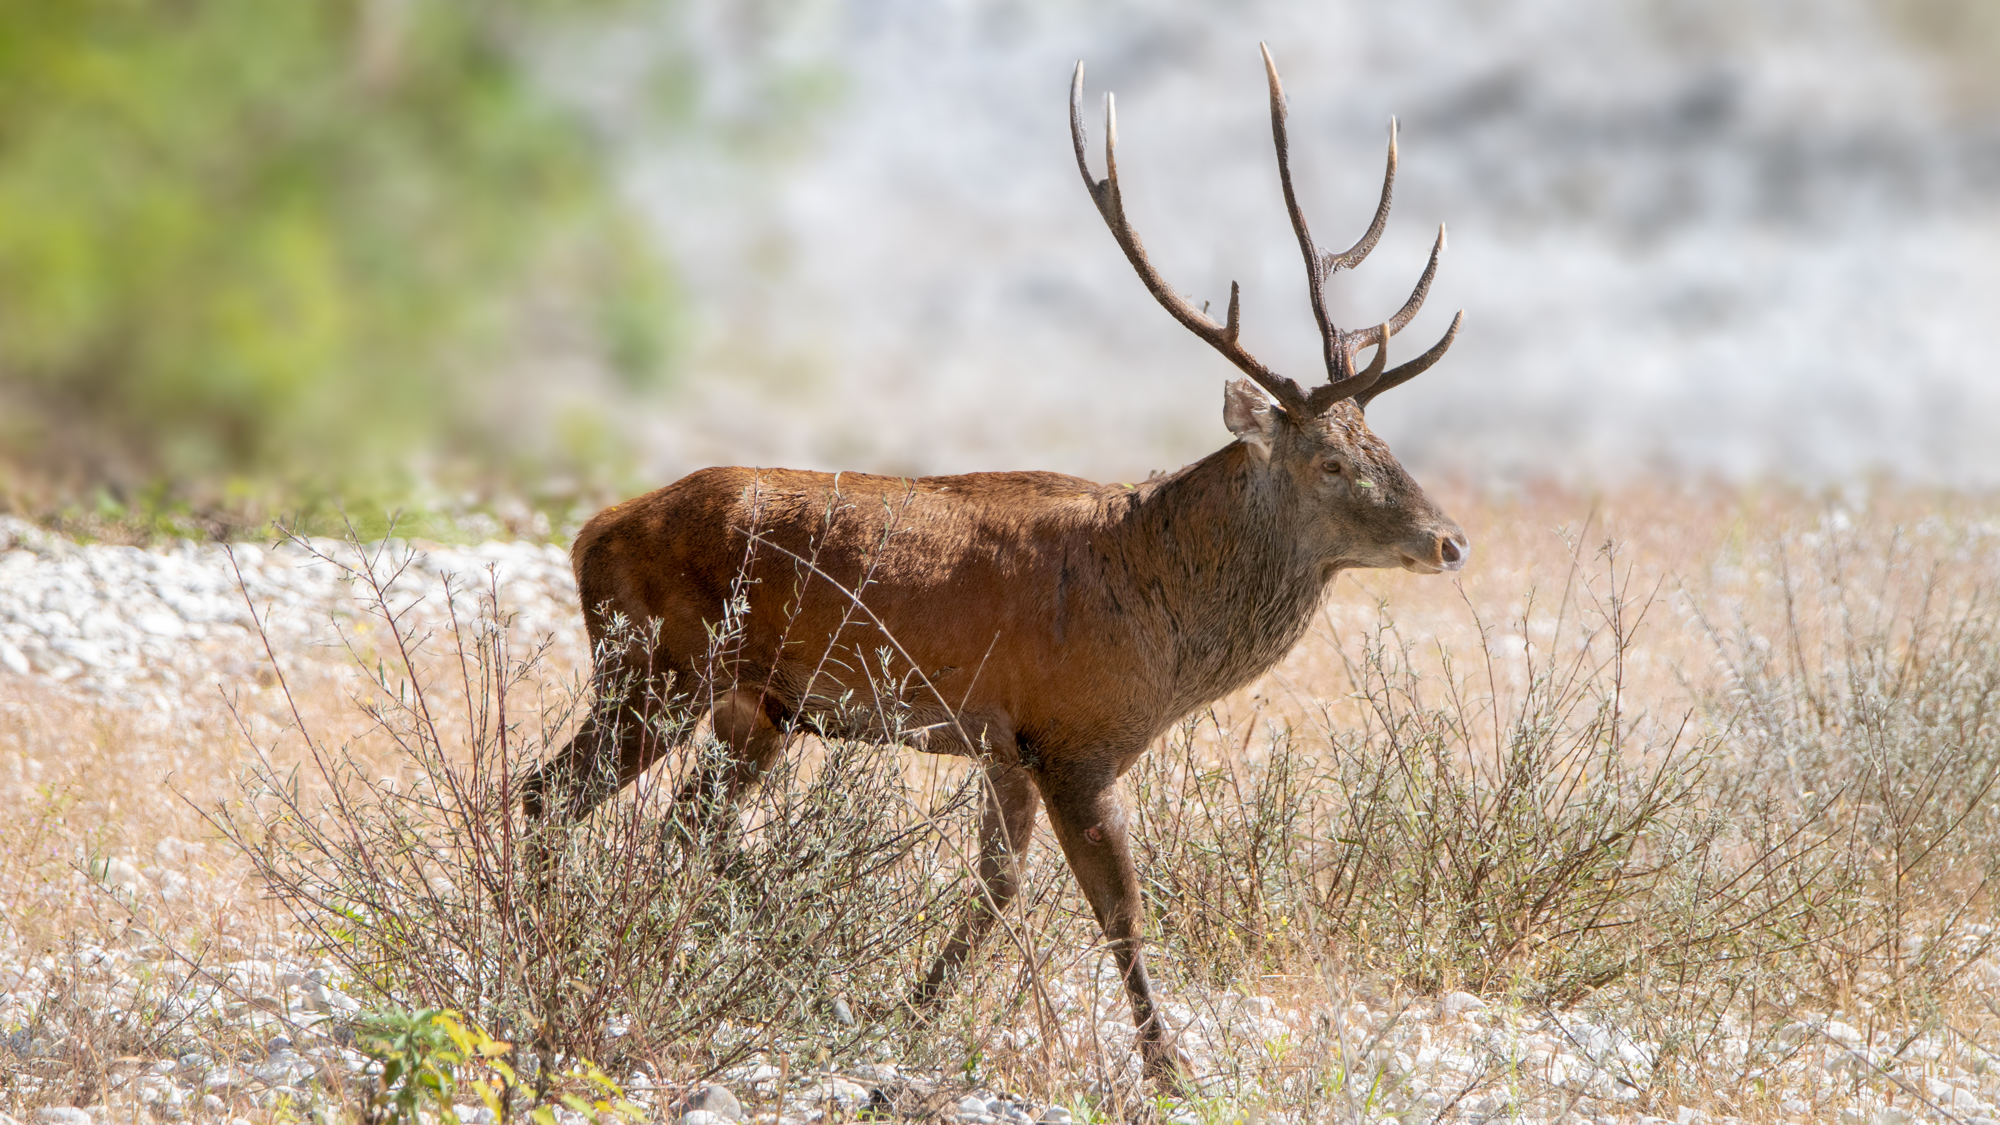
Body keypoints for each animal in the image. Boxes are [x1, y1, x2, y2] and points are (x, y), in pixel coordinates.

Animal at [523, 44, 1467, 1085]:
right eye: (1331, 461)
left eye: (1383, 441)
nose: (1448, 539)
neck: (1162, 627)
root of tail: (590, 533)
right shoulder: (1070, 736)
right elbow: (1117, 907)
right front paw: (1166, 1068)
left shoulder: (1004, 741)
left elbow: (1000, 885)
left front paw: (906, 1013)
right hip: (655, 666)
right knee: (545, 794)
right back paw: (548, 951)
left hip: (750, 706)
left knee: (680, 827)